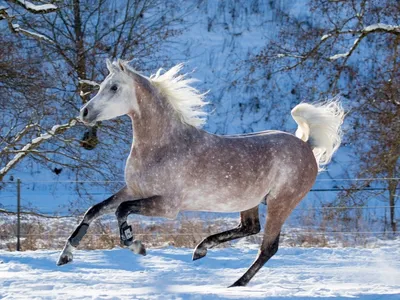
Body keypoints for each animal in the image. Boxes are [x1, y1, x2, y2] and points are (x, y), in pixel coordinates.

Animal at [56, 59, 344, 288]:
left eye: (114, 87)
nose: (84, 113)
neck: (163, 146)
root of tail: (306, 146)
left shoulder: (167, 206)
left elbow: (121, 211)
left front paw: (137, 246)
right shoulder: (133, 190)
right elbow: (94, 210)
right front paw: (65, 256)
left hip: (280, 203)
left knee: (268, 248)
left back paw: (236, 284)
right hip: (249, 201)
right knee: (250, 227)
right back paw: (201, 249)